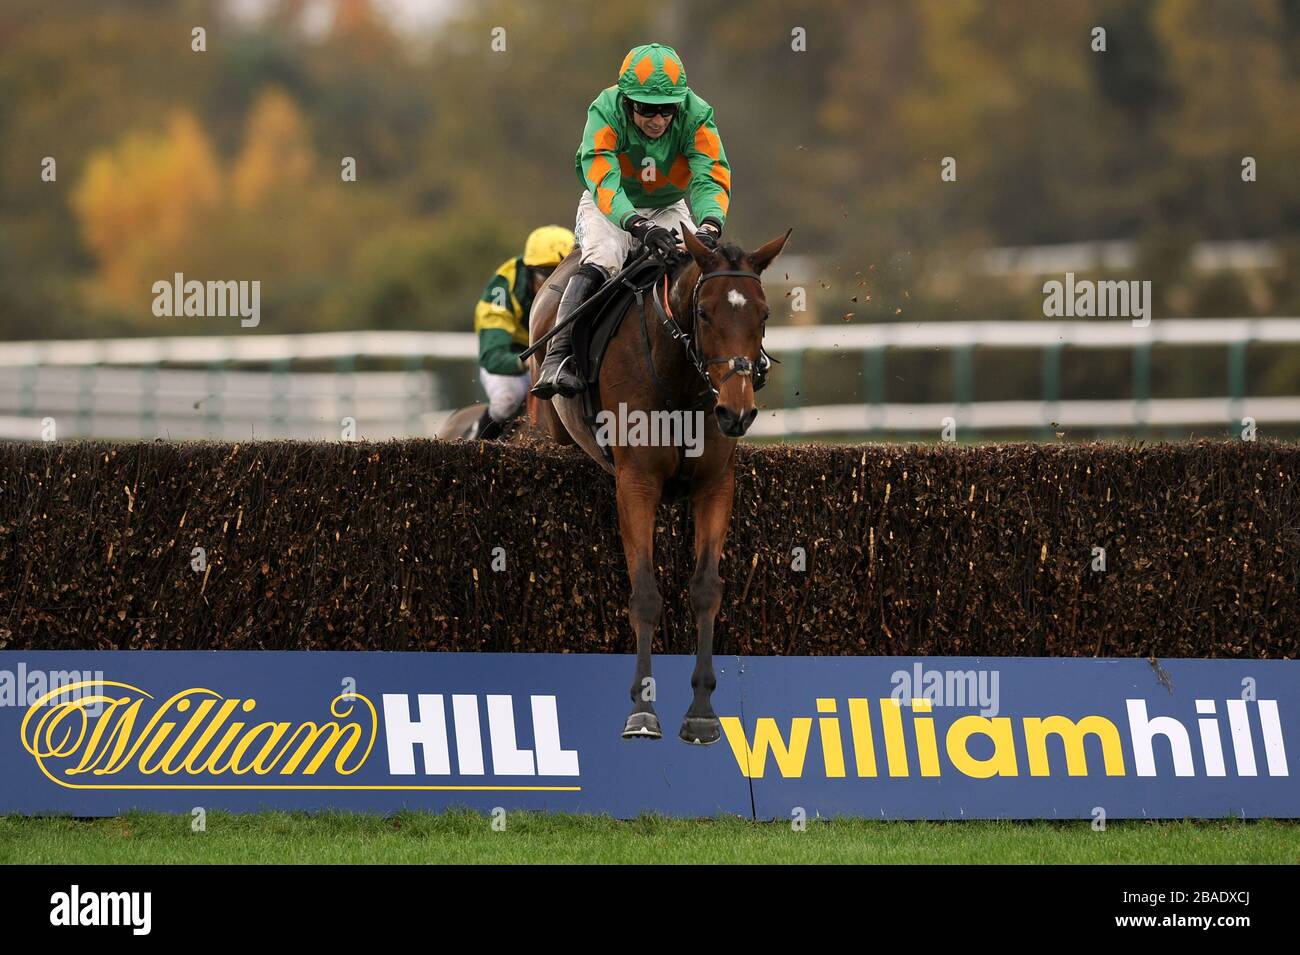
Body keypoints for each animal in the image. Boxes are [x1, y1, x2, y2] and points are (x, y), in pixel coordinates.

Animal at [527, 227, 790, 743]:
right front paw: (642, 710)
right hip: (551, 426)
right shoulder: (637, 485)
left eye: (764, 314)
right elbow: (645, 595)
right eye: (704, 312)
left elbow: (706, 588)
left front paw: (703, 711)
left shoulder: (715, 486)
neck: (682, 381)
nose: (737, 411)